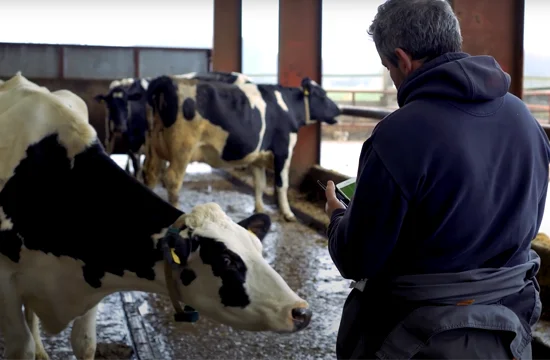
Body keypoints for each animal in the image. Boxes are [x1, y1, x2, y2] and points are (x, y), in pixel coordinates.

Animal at [0, 72, 314, 360]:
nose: (300, 311)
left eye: (259, 249)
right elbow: (22, 348)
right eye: (226, 260)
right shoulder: (8, 286)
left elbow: (85, 344)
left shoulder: (91, 278)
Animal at [142, 75, 340, 221]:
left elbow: (259, 183)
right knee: (173, 180)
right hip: (182, 148)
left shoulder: (258, 156)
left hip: (154, 146)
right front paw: (288, 213)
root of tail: (167, 80)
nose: (339, 110)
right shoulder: (284, 150)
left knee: (150, 174)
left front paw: (260, 209)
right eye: (322, 95)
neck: (287, 105)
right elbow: (281, 184)